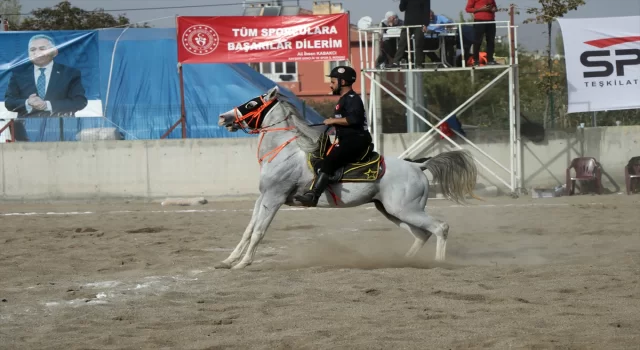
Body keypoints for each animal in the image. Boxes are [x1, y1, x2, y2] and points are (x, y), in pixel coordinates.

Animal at [218, 86, 478, 270]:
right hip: (393, 211)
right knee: (422, 234)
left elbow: (259, 232)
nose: (223, 117)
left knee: (440, 227)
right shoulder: (262, 198)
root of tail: (418, 166)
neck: (286, 151)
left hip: (406, 210)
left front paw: (244, 263)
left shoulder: (274, 198)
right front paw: (229, 260)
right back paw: (407, 261)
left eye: (252, 103)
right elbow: (249, 229)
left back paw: (439, 262)